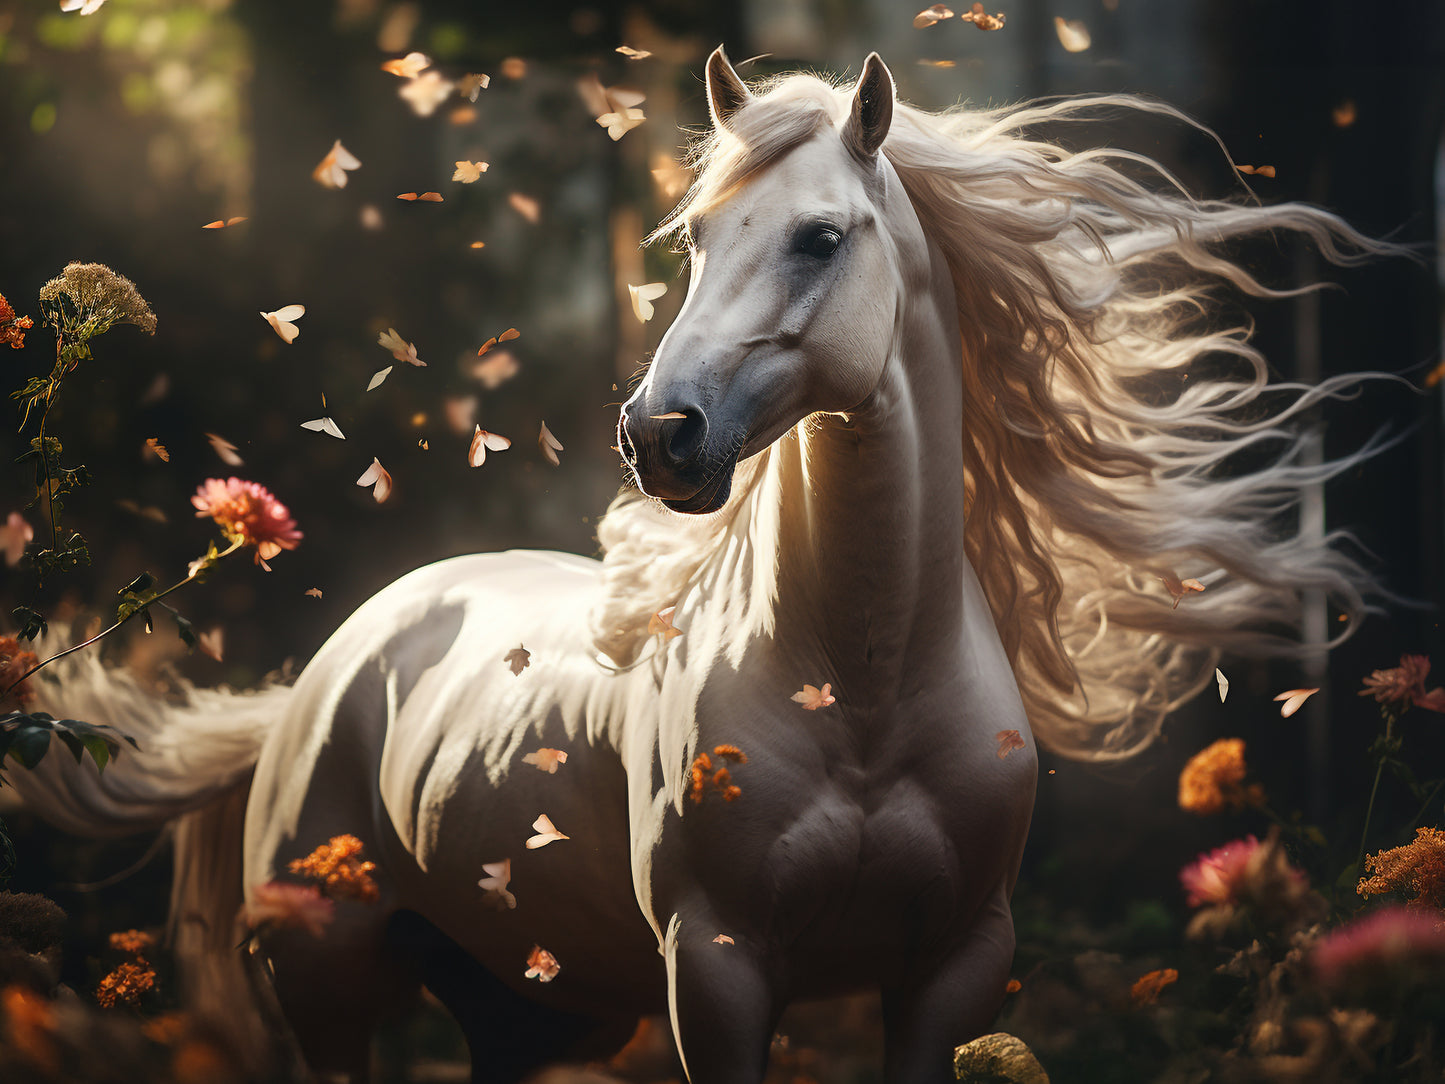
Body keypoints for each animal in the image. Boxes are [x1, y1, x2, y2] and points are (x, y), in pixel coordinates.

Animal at [14, 47, 1391, 1083]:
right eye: (696, 239)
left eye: (819, 237)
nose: (656, 435)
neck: (866, 693)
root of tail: (331, 666)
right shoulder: (718, 969)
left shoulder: (952, 969)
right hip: (332, 986)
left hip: (533, 1008)